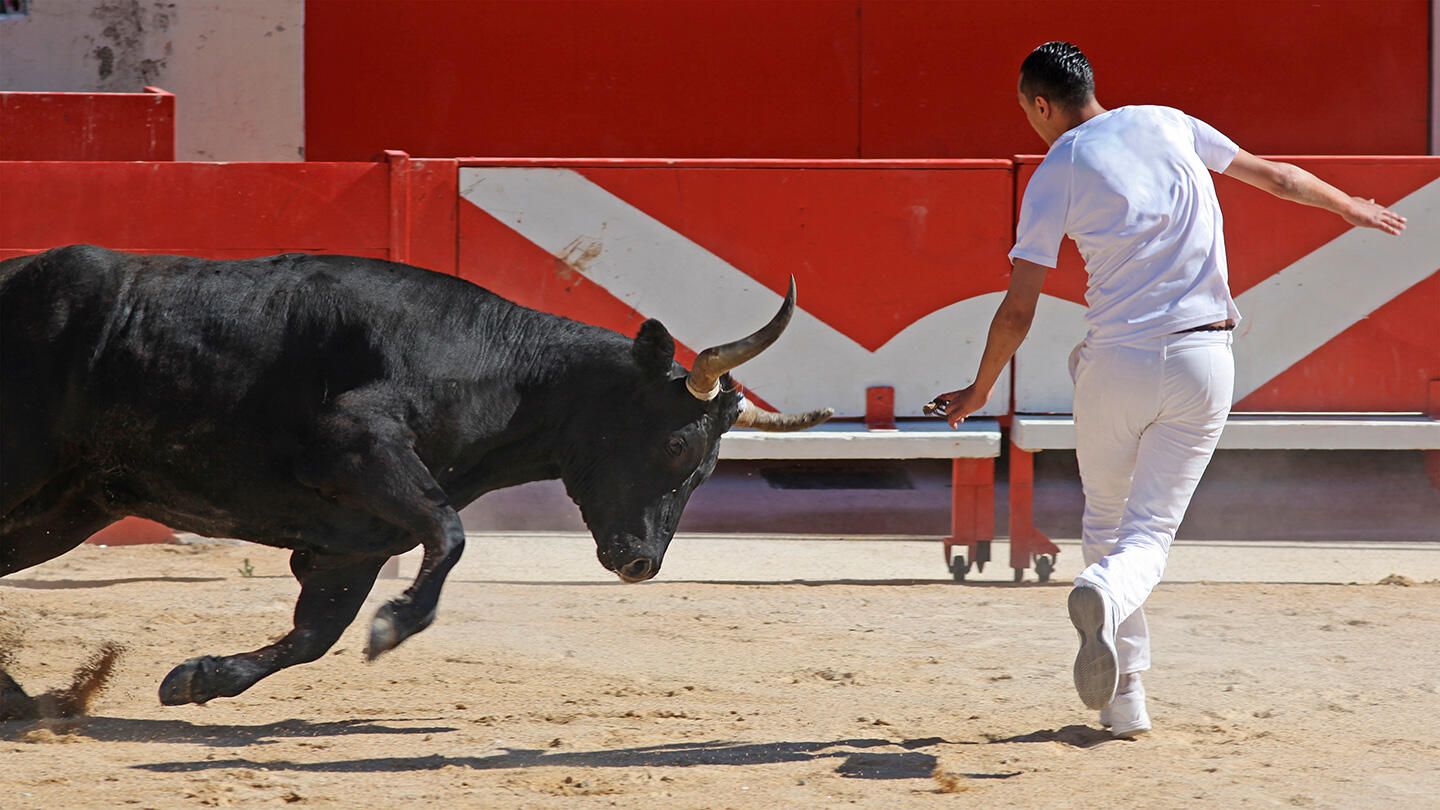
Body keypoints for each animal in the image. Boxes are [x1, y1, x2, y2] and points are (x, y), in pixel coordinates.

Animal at [2, 246, 835, 706]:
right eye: (676, 447)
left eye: (711, 469)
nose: (642, 564)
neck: (499, 371)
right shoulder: (356, 447)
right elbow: (450, 533)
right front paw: (396, 624)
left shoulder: (355, 540)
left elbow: (315, 634)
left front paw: (198, 679)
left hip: (70, 503)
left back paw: (23, 702)